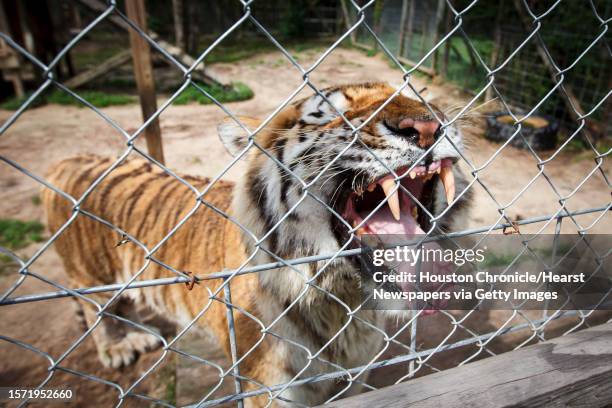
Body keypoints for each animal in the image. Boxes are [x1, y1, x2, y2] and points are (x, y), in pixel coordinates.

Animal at [45, 81, 470, 406]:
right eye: (327, 114)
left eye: (418, 98)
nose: (426, 126)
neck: (345, 303)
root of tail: (68, 159)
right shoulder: (268, 388)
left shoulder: (355, 377)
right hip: (91, 275)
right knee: (99, 313)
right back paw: (119, 347)